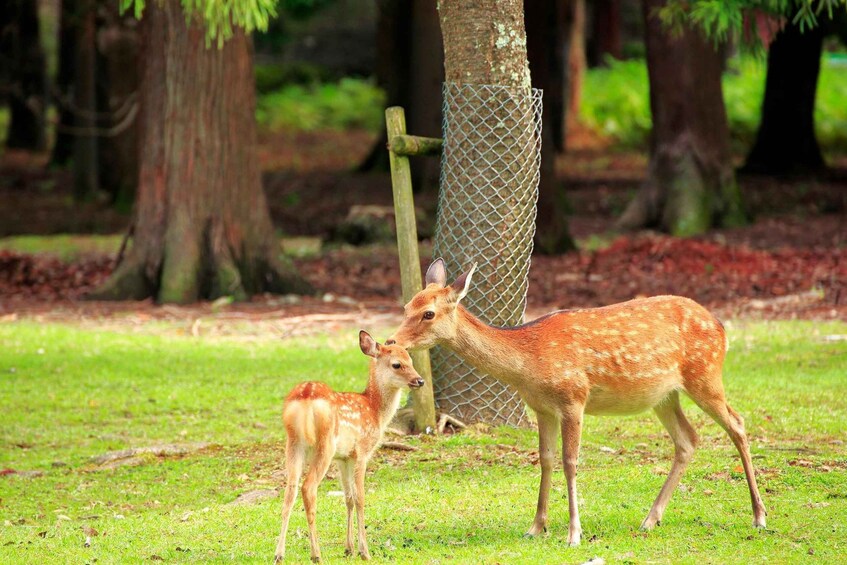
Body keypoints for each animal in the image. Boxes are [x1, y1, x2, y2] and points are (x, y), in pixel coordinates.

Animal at [274, 330, 425, 563]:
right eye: (397, 364)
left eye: (411, 360)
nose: (420, 380)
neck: (375, 410)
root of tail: (306, 396)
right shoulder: (362, 450)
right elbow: (361, 497)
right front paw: (364, 551)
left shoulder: (343, 457)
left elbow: (348, 498)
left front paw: (349, 548)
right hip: (325, 443)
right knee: (308, 488)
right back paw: (316, 554)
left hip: (294, 443)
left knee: (289, 491)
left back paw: (279, 554)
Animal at [386, 258, 767, 546]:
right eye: (406, 306)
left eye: (429, 313)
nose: (391, 340)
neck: (528, 361)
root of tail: (721, 326)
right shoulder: (541, 407)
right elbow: (545, 460)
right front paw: (535, 527)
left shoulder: (573, 398)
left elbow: (570, 462)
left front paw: (573, 534)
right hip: (664, 395)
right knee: (688, 439)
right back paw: (650, 519)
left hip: (705, 374)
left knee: (737, 423)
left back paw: (759, 516)